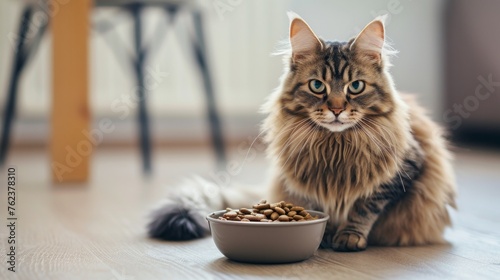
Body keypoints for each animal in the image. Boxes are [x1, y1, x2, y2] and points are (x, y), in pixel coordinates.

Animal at [146, 13, 456, 253]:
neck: (336, 145)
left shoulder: (403, 168)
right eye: (317, 86)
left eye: (355, 87)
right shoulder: (303, 176)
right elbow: (319, 207)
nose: (336, 109)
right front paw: (325, 234)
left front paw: (350, 235)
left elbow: (366, 206)